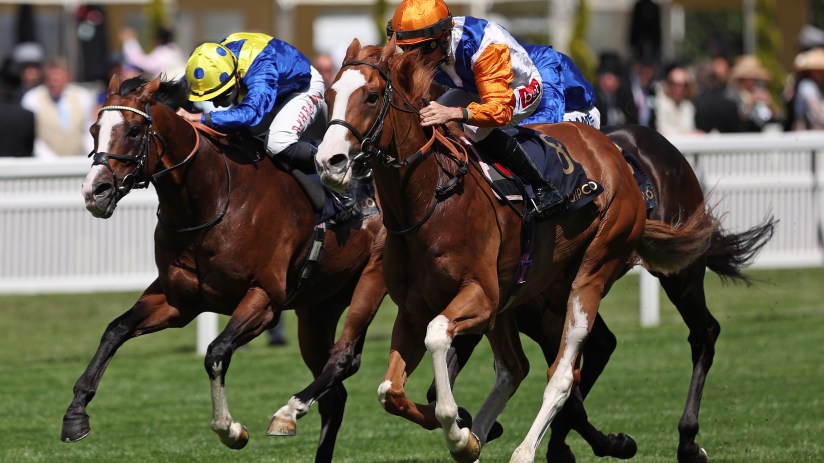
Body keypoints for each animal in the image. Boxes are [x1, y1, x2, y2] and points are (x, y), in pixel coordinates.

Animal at [63, 75, 388, 463]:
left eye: (134, 130)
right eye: (94, 129)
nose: (94, 191)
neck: (210, 200)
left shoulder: (265, 299)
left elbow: (216, 352)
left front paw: (230, 429)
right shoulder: (179, 301)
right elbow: (115, 330)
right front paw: (75, 416)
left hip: (371, 280)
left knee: (343, 360)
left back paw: (287, 412)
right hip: (318, 308)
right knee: (335, 395)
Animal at [314, 38, 722, 463]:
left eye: (372, 96)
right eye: (329, 95)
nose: (329, 162)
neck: (431, 200)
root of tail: (612, 153)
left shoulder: (480, 295)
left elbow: (438, 337)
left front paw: (458, 427)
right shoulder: (415, 308)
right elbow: (390, 391)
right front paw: (466, 432)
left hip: (605, 268)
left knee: (572, 370)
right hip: (528, 294)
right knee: (519, 366)